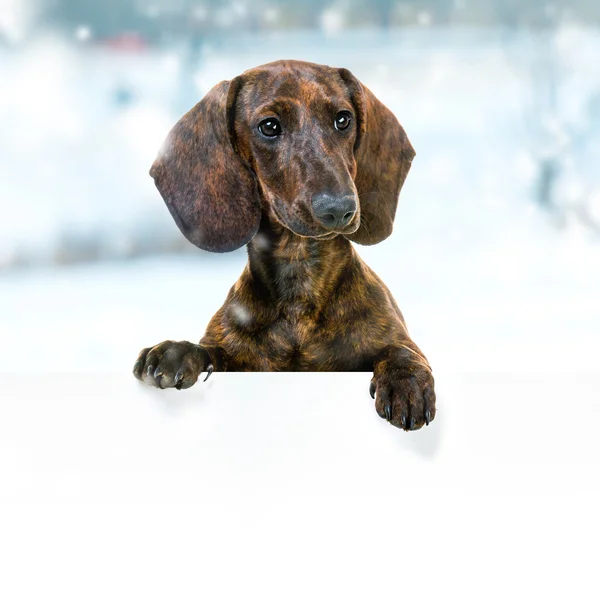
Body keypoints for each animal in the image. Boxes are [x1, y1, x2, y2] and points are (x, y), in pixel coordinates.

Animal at [132, 59, 436, 432]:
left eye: (343, 119)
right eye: (269, 126)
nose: (339, 209)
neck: (300, 276)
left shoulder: (397, 340)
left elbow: (402, 352)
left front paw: (406, 384)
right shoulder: (234, 354)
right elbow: (208, 351)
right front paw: (175, 351)